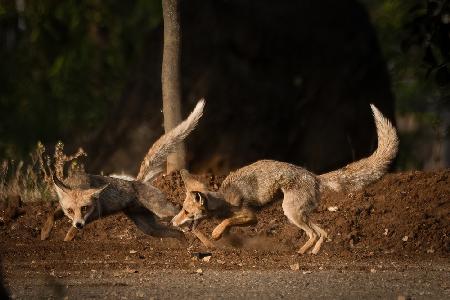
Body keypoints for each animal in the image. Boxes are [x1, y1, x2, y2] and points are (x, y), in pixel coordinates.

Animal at [40, 99, 206, 241]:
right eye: (70, 210)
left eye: (84, 208)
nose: (79, 224)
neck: (78, 182)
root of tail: (138, 181)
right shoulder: (62, 207)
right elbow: (51, 215)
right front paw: (44, 233)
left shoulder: (94, 213)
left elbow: (71, 231)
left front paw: (67, 238)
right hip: (148, 228)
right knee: (177, 232)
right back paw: (186, 242)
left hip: (162, 212)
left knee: (182, 213)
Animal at [171, 104, 398, 254]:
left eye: (186, 211)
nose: (173, 221)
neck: (223, 199)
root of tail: (314, 176)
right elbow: (225, 224)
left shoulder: (252, 217)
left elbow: (227, 221)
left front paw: (217, 233)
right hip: (300, 214)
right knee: (323, 233)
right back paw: (310, 252)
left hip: (291, 213)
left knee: (314, 233)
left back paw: (300, 253)